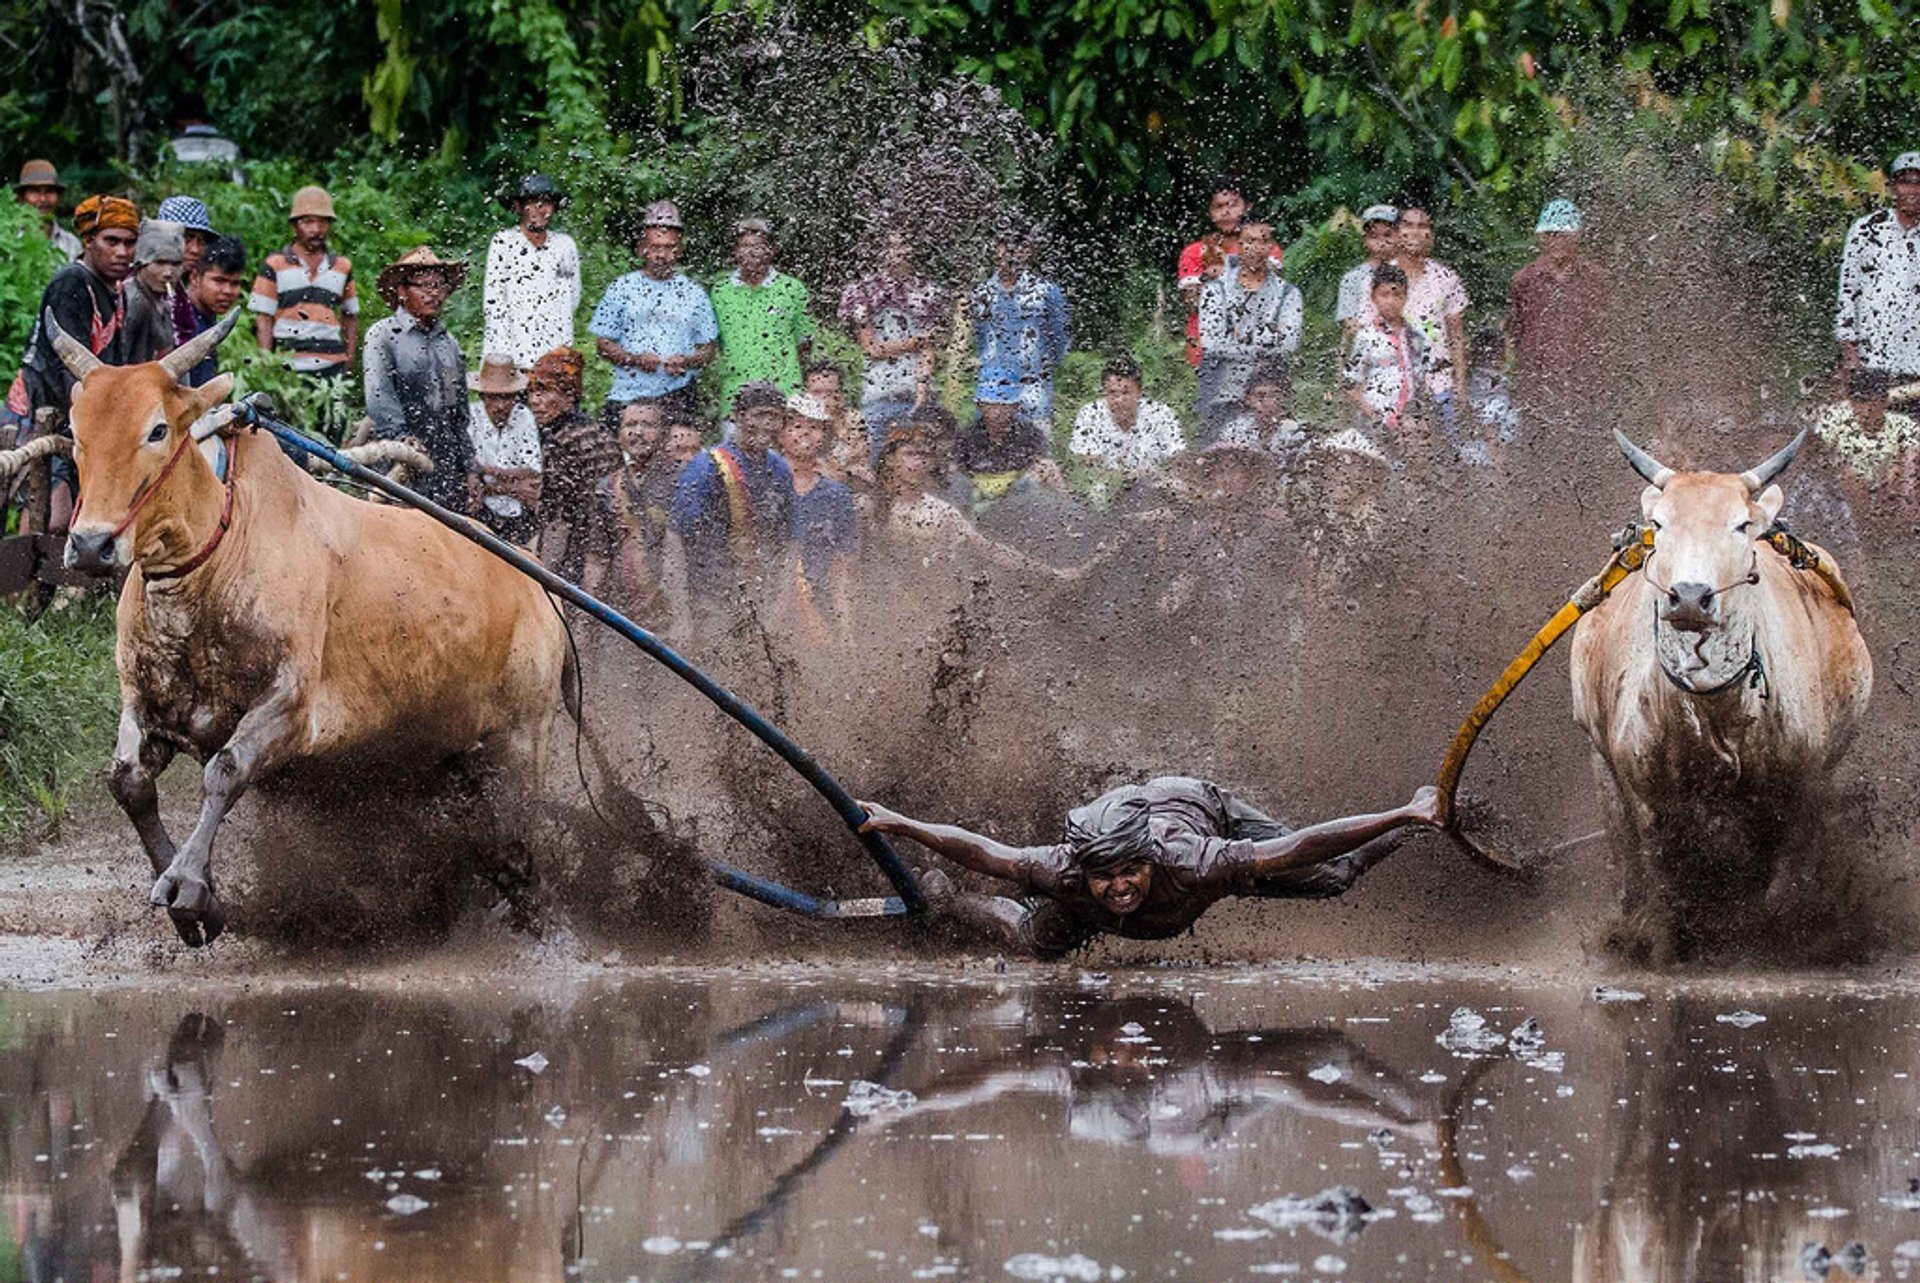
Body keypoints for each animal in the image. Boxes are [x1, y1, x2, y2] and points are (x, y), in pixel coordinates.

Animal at [45, 314, 568, 948]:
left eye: (157, 430)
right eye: (76, 432)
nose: (90, 545)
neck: (213, 565)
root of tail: (537, 581)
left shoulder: (290, 705)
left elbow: (225, 771)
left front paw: (189, 889)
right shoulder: (147, 705)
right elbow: (128, 783)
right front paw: (194, 905)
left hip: (521, 742)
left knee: (519, 855)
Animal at [1566, 430, 1866, 960]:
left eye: (1741, 524)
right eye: (1660, 523)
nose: (1689, 596)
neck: (1715, 708)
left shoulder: (1804, 784)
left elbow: (1782, 886)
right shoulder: (1647, 794)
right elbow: (1661, 880)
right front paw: (1664, 948)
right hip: (1600, 762)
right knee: (1627, 864)